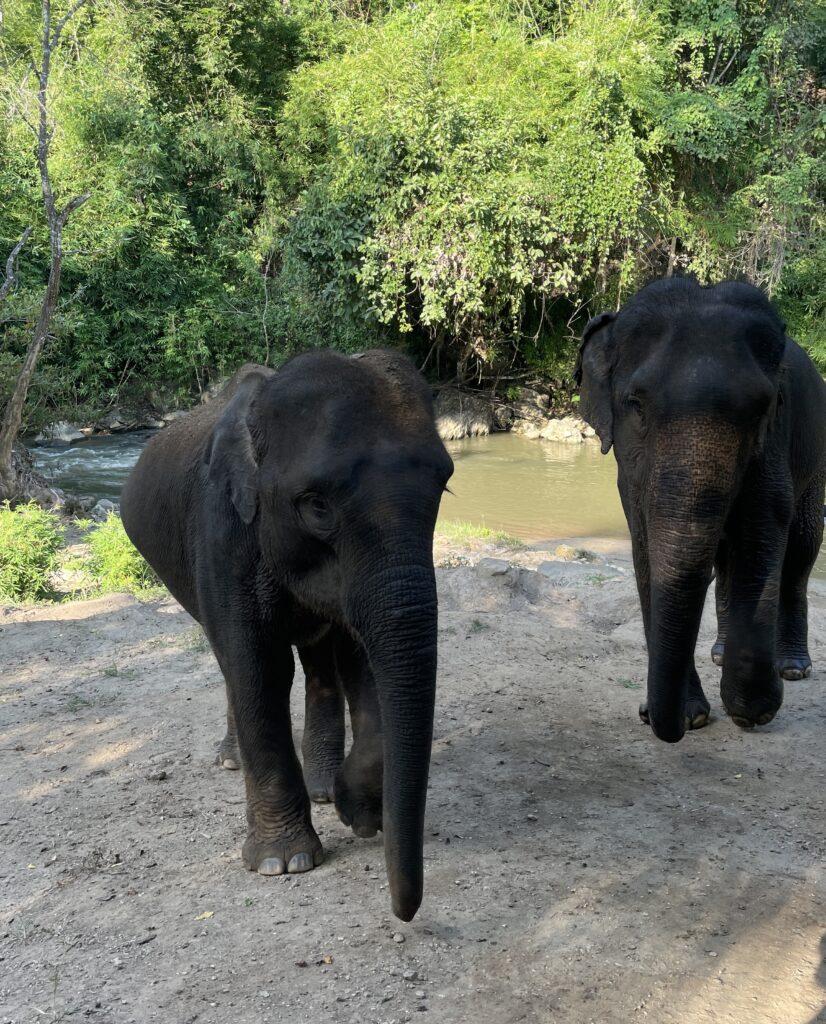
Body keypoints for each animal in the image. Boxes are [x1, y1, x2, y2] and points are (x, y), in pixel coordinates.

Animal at [120, 350, 453, 921]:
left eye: (444, 486)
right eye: (316, 505)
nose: (405, 912)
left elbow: (361, 660)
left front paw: (357, 812)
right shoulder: (222, 534)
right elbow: (257, 668)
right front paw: (285, 862)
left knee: (320, 663)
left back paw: (320, 786)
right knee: (231, 662)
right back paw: (233, 760)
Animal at [575, 277, 826, 743]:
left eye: (762, 408)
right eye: (637, 404)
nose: (653, 717)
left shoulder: (773, 449)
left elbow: (763, 533)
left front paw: (753, 711)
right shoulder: (629, 472)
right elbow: (645, 547)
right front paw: (692, 716)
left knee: (800, 550)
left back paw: (793, 667)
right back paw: (719, 654)